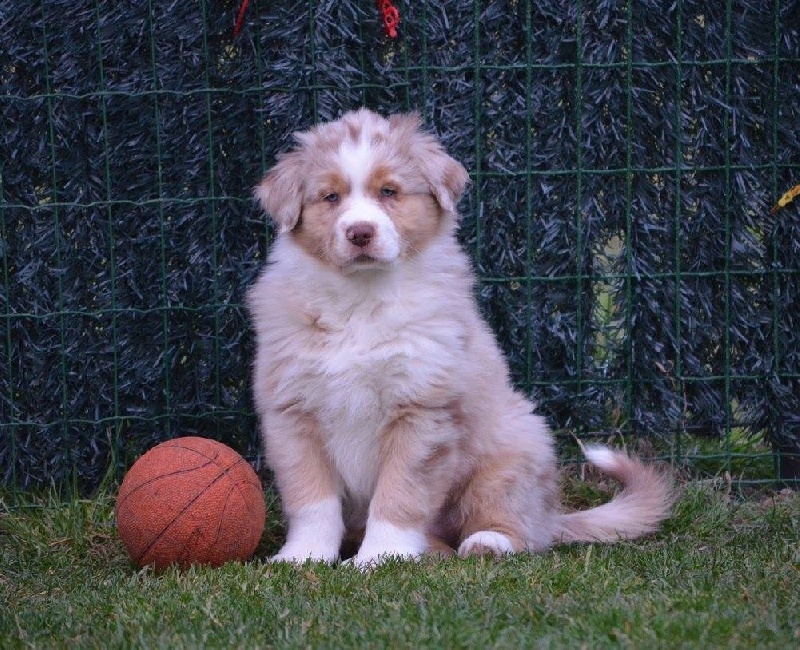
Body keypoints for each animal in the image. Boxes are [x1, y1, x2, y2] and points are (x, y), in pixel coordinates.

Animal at [247, 109, 673, 568]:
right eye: (330, 197)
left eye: (389, 191)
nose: (360, 232)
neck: (362, 299)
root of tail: (551, 517)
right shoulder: (293, 412)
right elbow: (312, 500)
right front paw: (302, 557)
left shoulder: (423, 409)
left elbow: (399, 495)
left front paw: (380, 558)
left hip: (512, 454)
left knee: (515, 526)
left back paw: (486, 542)